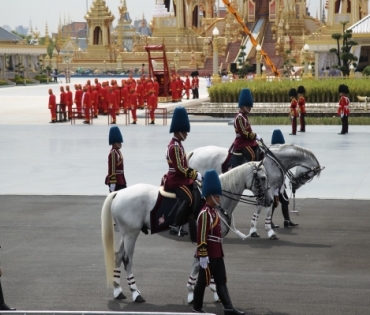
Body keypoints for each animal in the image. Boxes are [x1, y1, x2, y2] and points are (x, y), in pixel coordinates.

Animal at [101, 163, 274, 304]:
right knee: (127, 260)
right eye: (263, 178)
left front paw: (212, 291)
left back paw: (118, 290)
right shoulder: (204, 238)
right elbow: (199, 265)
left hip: (126, 234)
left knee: (118, 256)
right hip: (131, 234)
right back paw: (135, 293)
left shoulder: (212, 239)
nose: (271, 200)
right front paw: (193, 293)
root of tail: (119, 193)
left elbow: (207, 263)